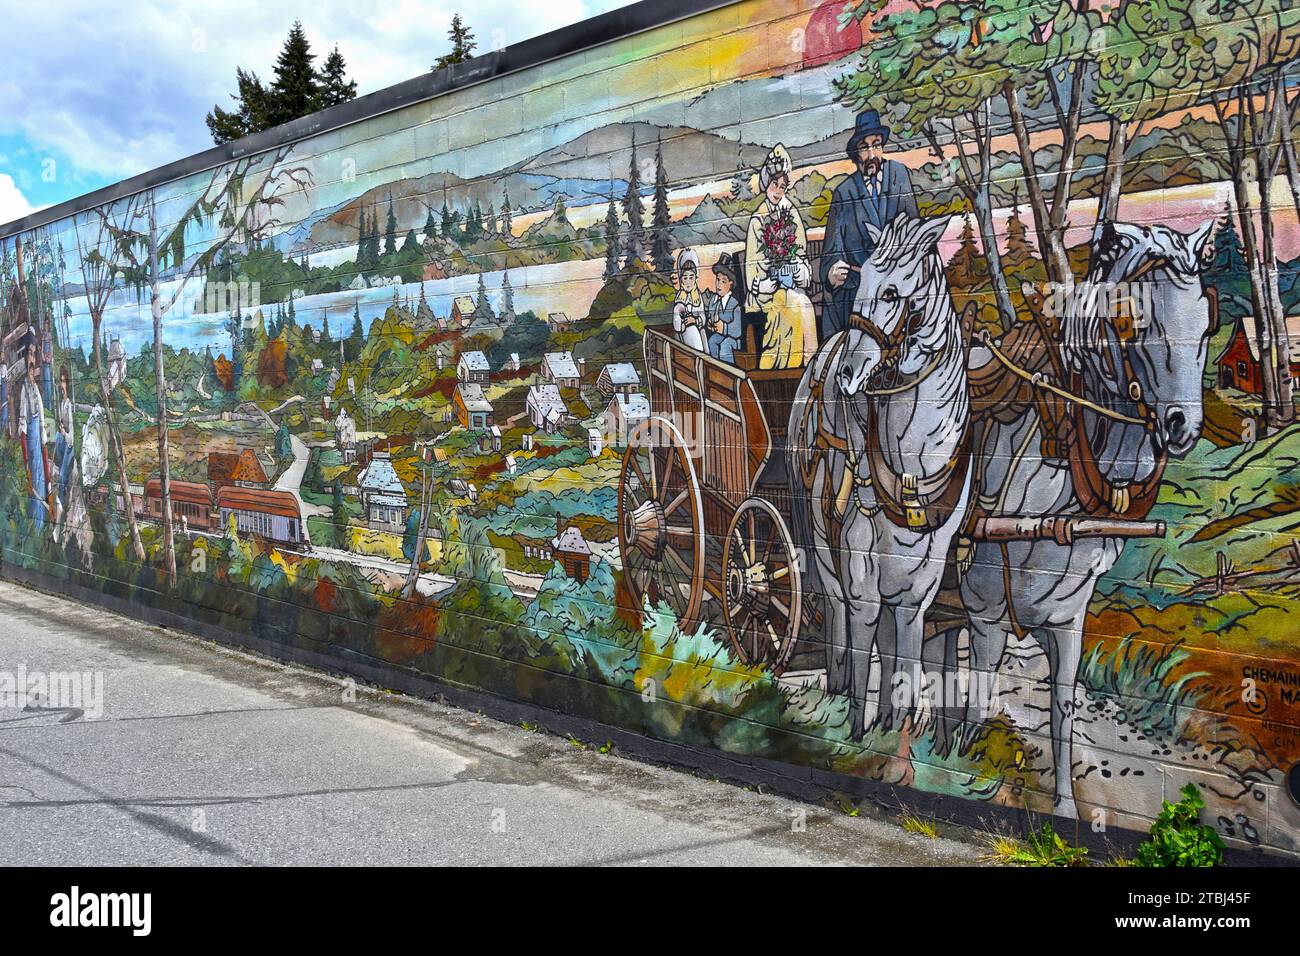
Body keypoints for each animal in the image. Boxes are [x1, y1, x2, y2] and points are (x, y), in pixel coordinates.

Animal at [785, 217, 972, 738]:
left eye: (892, 292)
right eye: (859, 280)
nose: (849, 373)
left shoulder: (925, 570)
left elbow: (904, 647)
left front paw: (897, 728)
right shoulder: (858, 558)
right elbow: (862, 625)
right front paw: (855, 729)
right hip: (821, 541)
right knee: (838, 614)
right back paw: (838, 691)